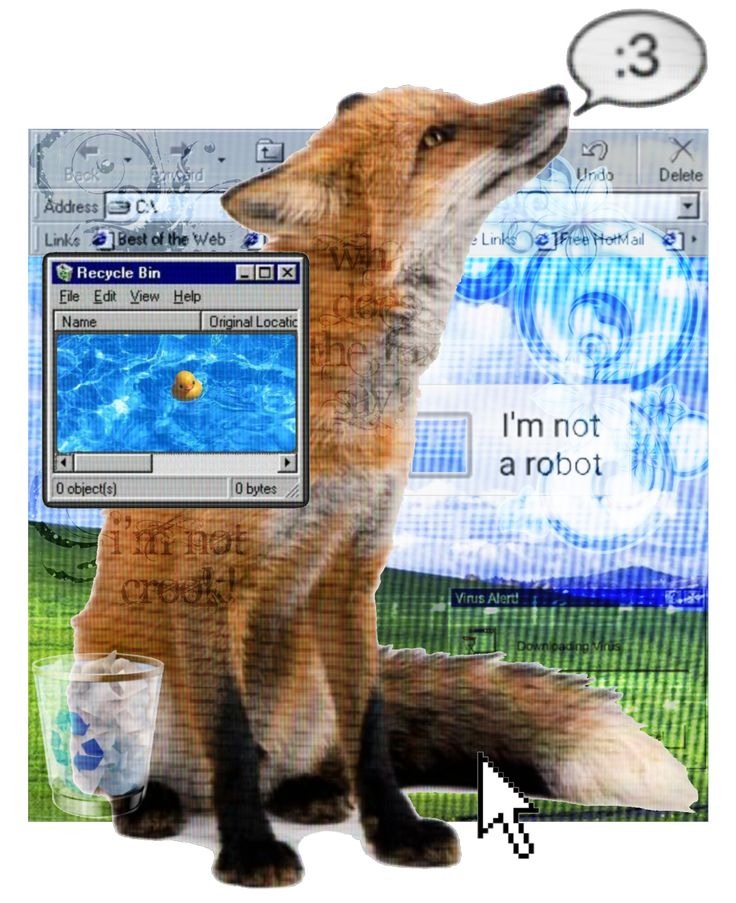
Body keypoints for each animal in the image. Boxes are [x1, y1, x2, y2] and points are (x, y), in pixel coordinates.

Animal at [72, 85, 697, 887]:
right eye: (437, 136)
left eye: (459, 106)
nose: (558, 92)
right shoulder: (205, 582)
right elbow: (233, 741)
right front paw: (249, 851)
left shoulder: (351, 573)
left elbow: (368, 732)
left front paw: (393, 831)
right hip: (114, 676)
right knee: (158, 773)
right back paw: (153, 803)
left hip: (305, 679)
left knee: (304, 758)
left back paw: (309, 792)